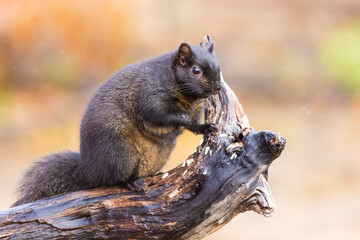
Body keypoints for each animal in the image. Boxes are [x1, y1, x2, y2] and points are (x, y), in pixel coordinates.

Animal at [12, 37, 221, 206]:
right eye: (195, 70)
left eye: (218, 67)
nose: (217, 87)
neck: (188, 96)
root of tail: (90, 170)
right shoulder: (150, 94)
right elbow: (161, 114)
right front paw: (187, 121)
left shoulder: (196, 109)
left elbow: (191, 124)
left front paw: (204, 127)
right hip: (120, 154)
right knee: (114, 180)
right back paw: (132, 182)